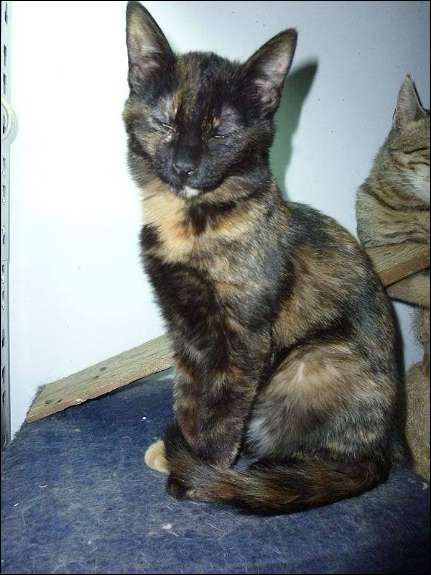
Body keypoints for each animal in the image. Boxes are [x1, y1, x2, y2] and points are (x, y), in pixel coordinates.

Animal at [123, 1, 400, 514]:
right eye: (166, 122)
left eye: (220, 133)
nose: (185, 167)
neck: (194, 220)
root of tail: (381, 454)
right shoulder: (184, 326)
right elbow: (190, 394)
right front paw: (180, 450)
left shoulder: (242, 339)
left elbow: (222, 408)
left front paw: (198, 471)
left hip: (310, 362)